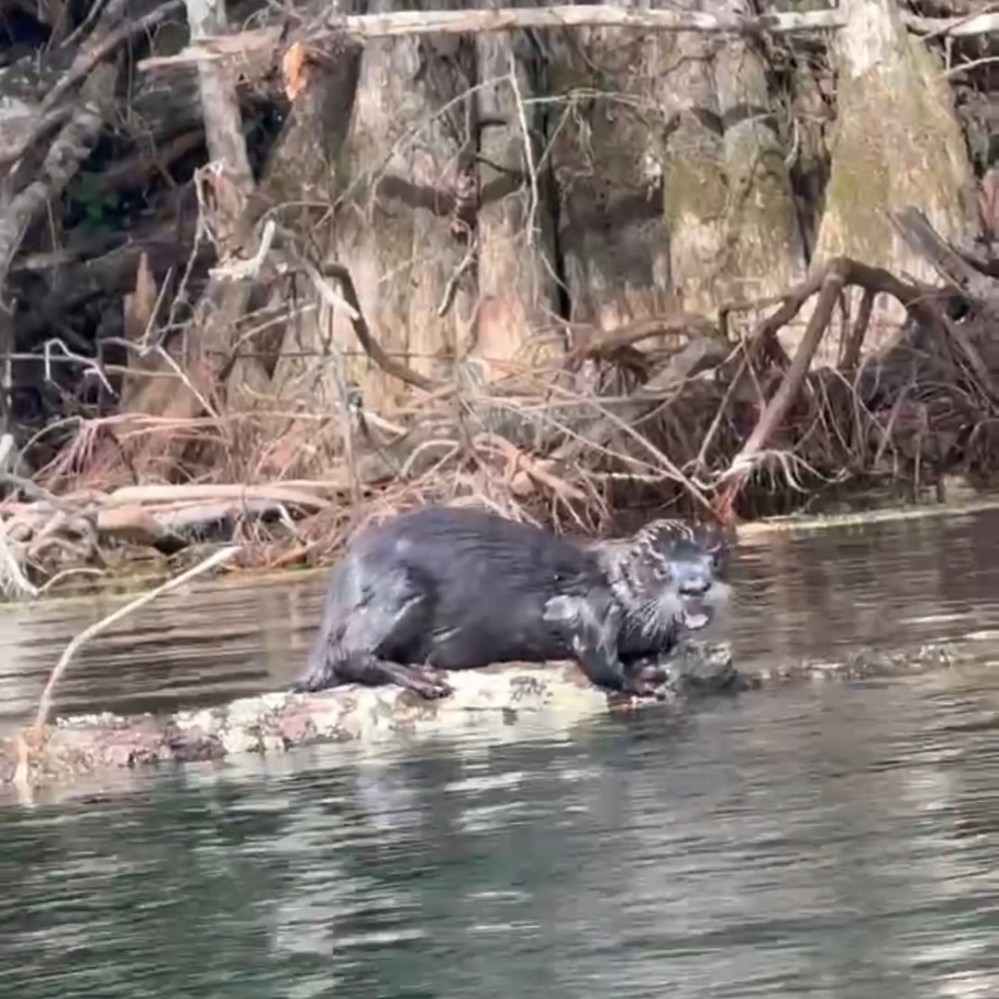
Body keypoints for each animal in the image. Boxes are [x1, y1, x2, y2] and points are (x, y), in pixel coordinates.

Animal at [290, 506, 731, 700]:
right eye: (661, 569)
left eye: (712, 561)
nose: (696, 587)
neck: (618, 590)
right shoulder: (588, 607)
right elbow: (598, 660)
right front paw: (641, 680)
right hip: (399, 587)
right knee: (348, 652)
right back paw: (423, 679)